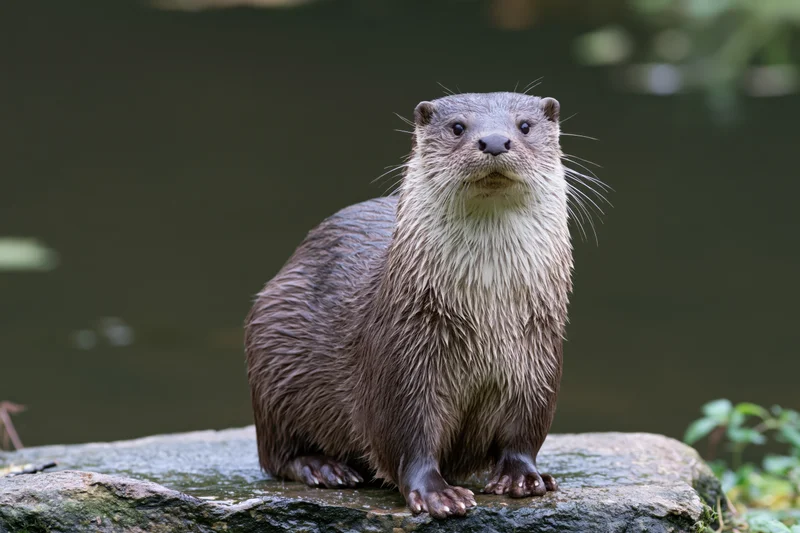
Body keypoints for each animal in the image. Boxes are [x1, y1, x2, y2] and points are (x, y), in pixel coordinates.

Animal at [245, 91, 573, 519]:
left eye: (525, 126)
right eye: (457, 127)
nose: (494, 141)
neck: (488, 316)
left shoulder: (537, 357)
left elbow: (525, 430)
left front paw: (523, 477)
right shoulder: (404, 355)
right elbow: (407, 434)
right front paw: (437, 493)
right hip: (272, 351)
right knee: (276, 452)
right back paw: (323, 467)